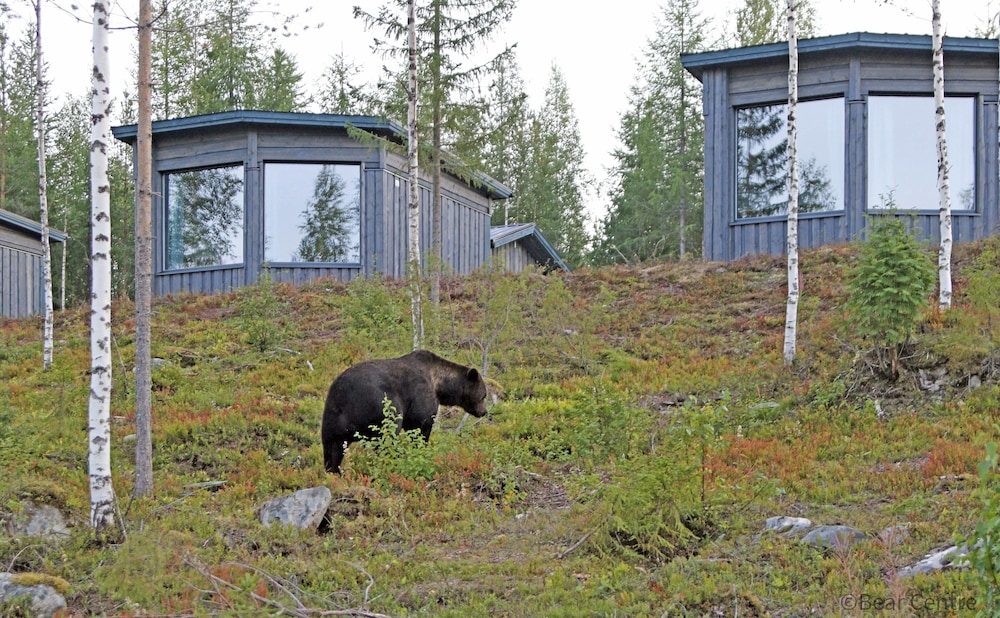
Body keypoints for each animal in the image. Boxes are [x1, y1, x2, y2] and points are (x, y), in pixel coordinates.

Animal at [321, 349, 489, 473]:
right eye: (483, 395)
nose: (484, 412)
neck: (439, 383)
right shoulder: (420, 395)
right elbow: (421, 425)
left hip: (333, 417)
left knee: (332, 450)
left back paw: (335, 472)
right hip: (380, 406)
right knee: (386, 437)